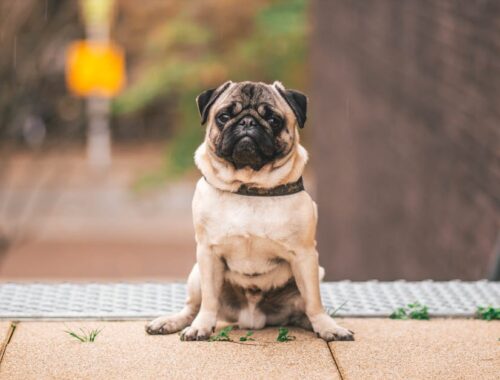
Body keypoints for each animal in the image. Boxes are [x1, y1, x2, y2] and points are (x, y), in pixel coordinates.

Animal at [146, 80, 354, 342]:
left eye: (274, 120)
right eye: (224, 116)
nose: (247, 122)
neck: (249, 187)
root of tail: (252, 318)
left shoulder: (305, 255)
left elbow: (314, 302)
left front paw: (327, 327)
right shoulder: (207, 253)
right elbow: (209, 301)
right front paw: (201, 326)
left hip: (317, 271)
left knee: (304, 308)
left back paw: (316, 323)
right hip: (195, 275)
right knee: (192, 307)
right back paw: (171, 322)